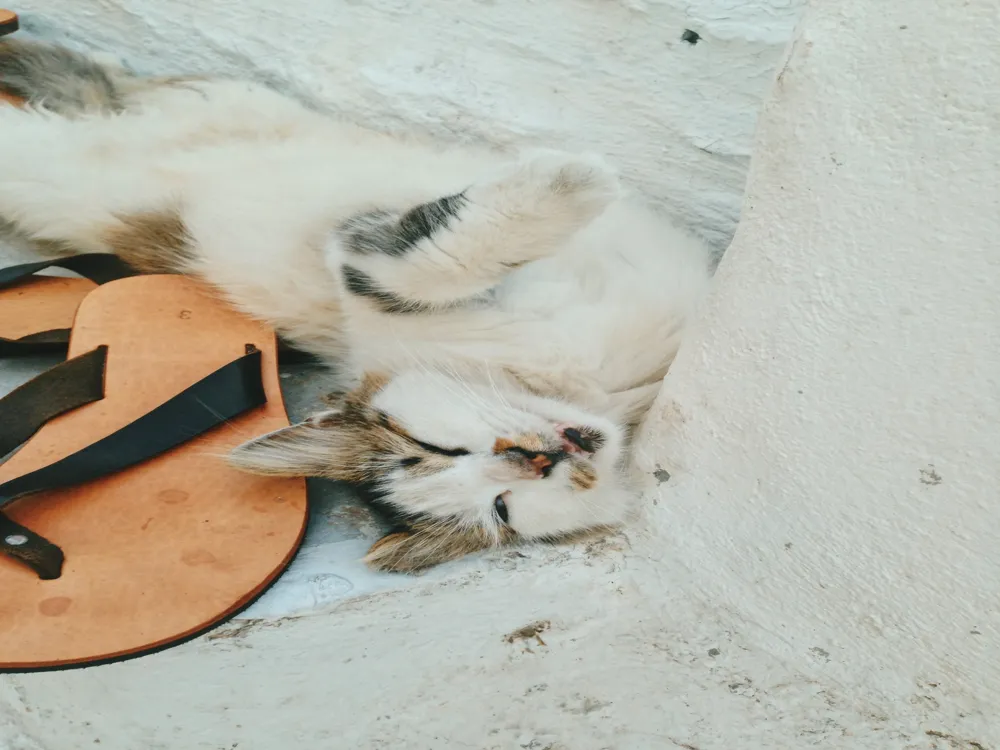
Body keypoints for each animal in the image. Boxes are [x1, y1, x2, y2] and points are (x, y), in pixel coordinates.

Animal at [3, 38, 716, 572]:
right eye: (500, 508)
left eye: (432, 447)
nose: (531, 458)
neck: (587, 390)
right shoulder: (361, 262)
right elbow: (425, 263)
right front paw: (572, 184)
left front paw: (568, 182)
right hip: (54, 169)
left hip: (229, 104)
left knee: (102, 85)